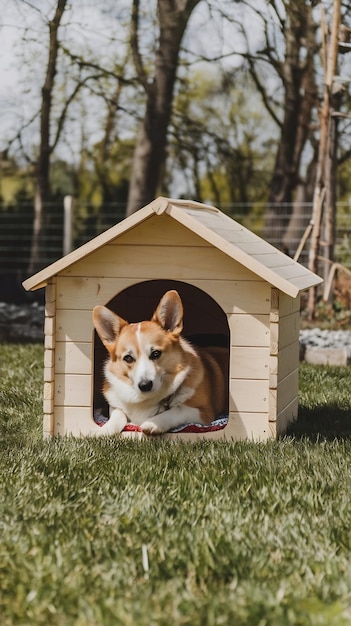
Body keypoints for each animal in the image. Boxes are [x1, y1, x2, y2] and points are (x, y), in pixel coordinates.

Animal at [92, 288, 228, 432]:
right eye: (128, 358)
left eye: (156, 353)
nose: (145, 385)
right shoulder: (115, 405)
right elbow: (118, 414)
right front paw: (104, 430)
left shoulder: (203, 412)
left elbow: (177, 410)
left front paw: (152, 423)